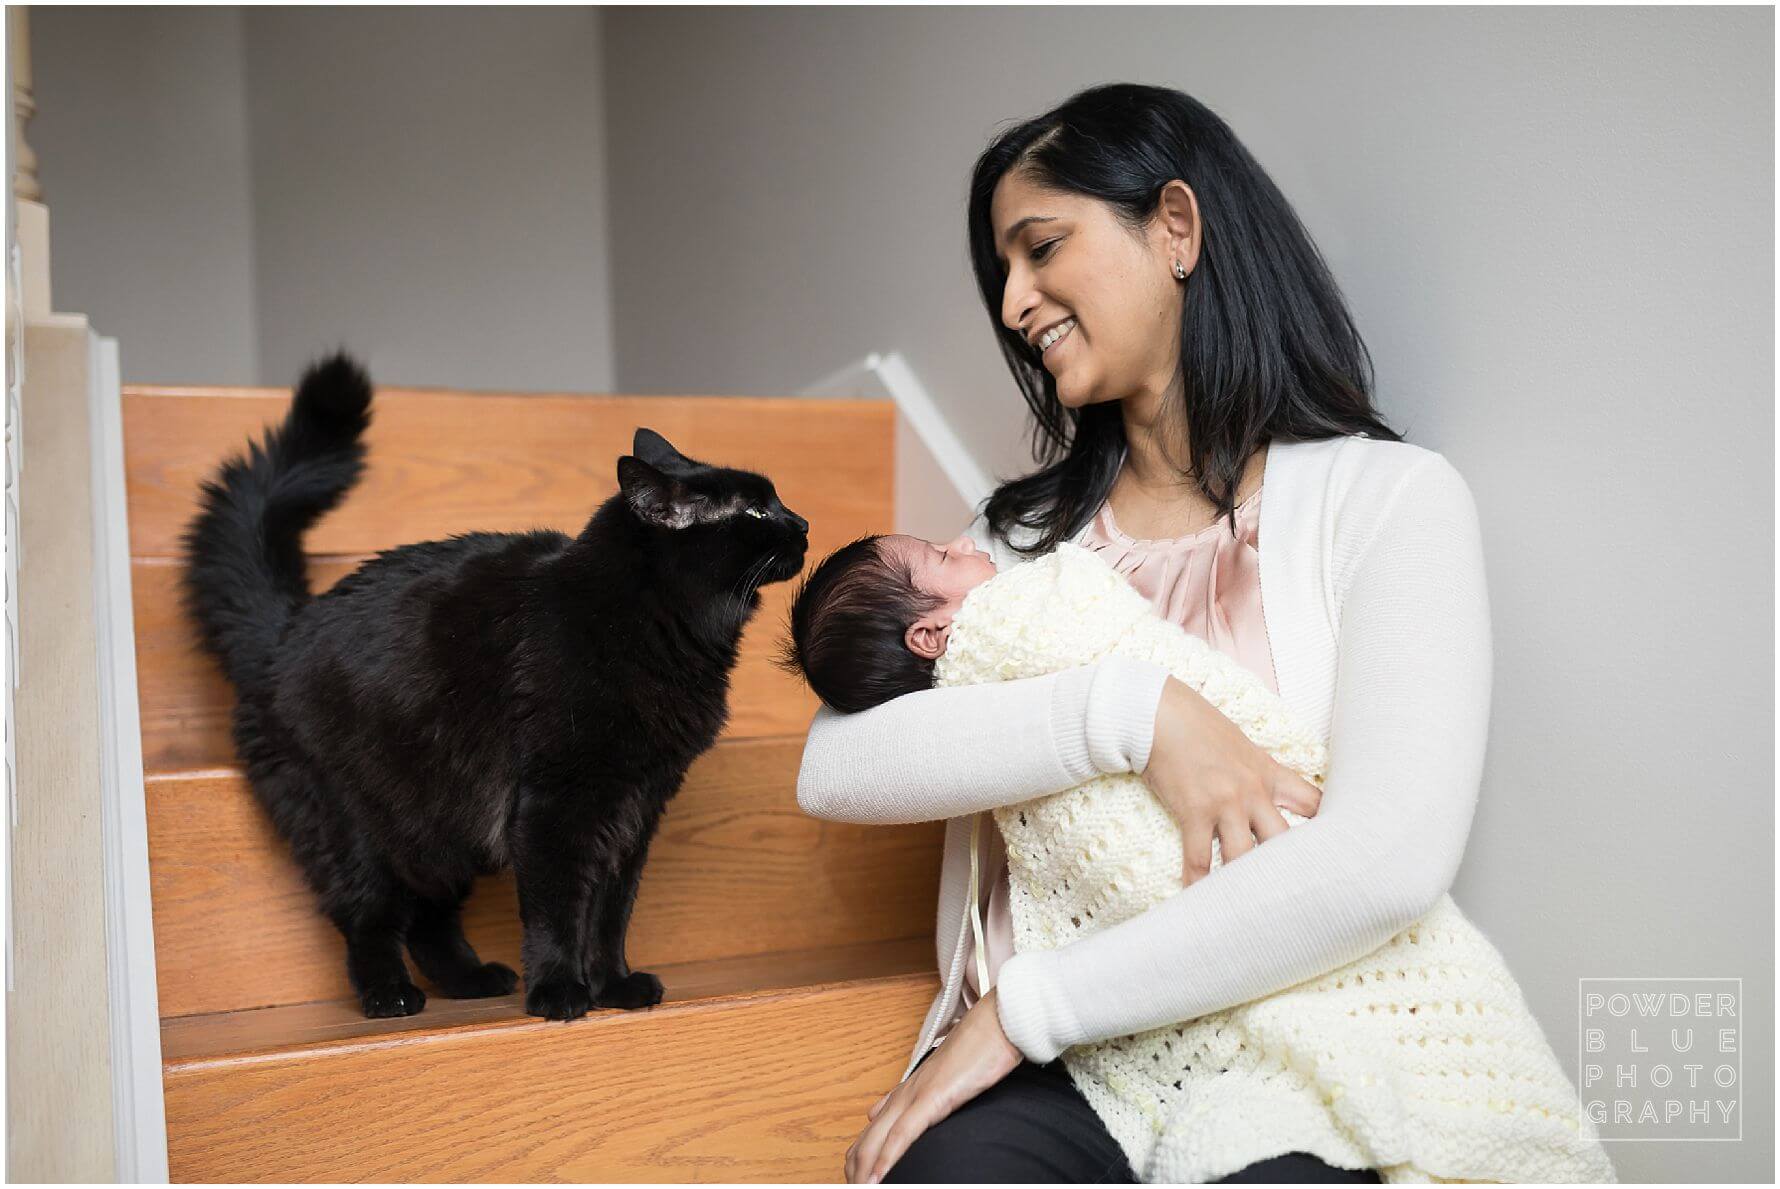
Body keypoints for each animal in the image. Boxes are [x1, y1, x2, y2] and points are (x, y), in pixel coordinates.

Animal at [184, 352, 811, 1025]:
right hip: (352, 826)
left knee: (430, 919)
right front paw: (560, 992)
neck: (649, 623)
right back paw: (389, 995)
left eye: (778, 501)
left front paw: (614, 986)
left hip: (439, 827)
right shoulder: (555, 802)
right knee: (369, 919)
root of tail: (285, 629)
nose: (803, 522)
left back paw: (471, 980)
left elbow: (610, 914)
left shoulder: (638, 806)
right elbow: (557, 913)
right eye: (755, 512)